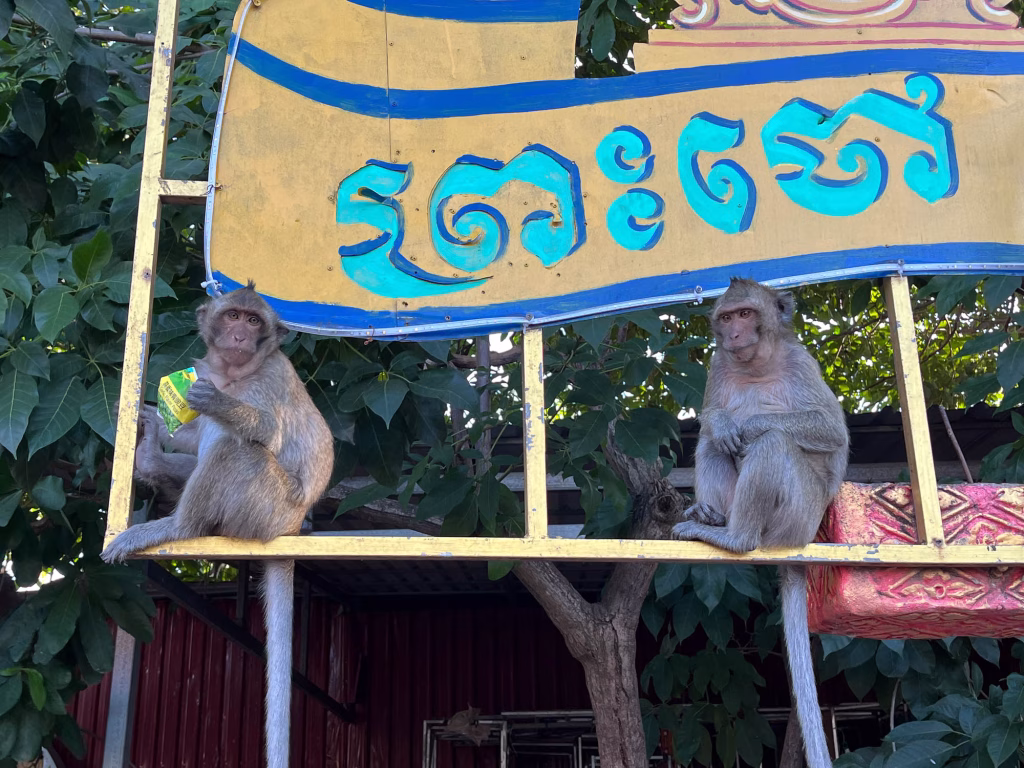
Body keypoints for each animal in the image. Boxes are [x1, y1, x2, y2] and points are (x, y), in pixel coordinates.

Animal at [102, 282, 334, 768]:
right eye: (233, 316)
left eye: (254, 321)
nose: (240, 336)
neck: (233, 373)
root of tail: (292, 528)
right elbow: (189, 434)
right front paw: (149, 420)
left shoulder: (271, 378)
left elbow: (263, 429)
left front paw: (219, 403)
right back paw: (149, 459)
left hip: (264, 506)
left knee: (234, 447)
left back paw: (177, 526)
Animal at [671, 277, 849, 768]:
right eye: (728, 317)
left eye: (747, 314)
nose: (734, 334)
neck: (757, 365)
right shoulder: (716, 365)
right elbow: (713, 419)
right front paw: (721, 421)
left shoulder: (803, 364)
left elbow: (829, 430)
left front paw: (748, 425)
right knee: (712, 442)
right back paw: (709, 514)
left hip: (797, 514)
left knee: (773, 442)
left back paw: (735, 537)